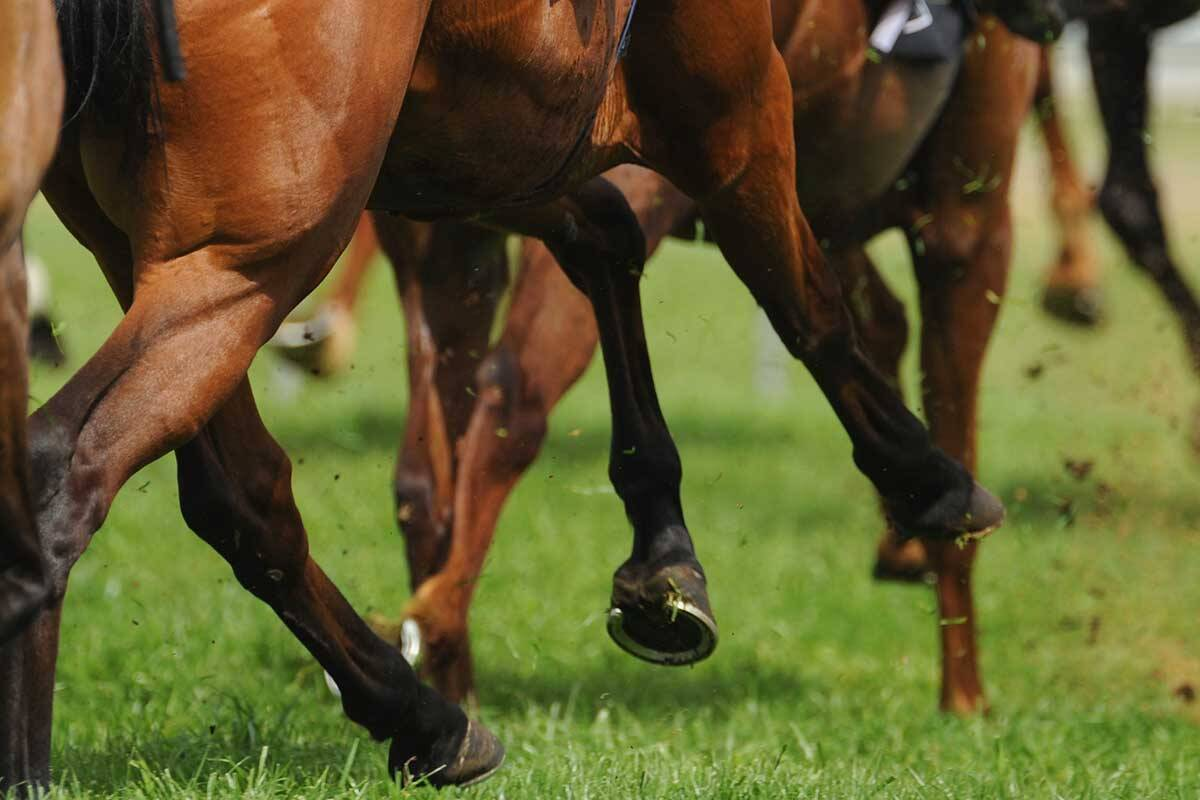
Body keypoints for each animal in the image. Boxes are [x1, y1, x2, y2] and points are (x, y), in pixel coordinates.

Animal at [275, 2, 1045, 714]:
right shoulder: (961, 221)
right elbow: (866, 348)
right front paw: (964, 691)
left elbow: (869, 321)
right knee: (516, 390)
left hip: (454, 218)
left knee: (430, 469)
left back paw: (451, 669)